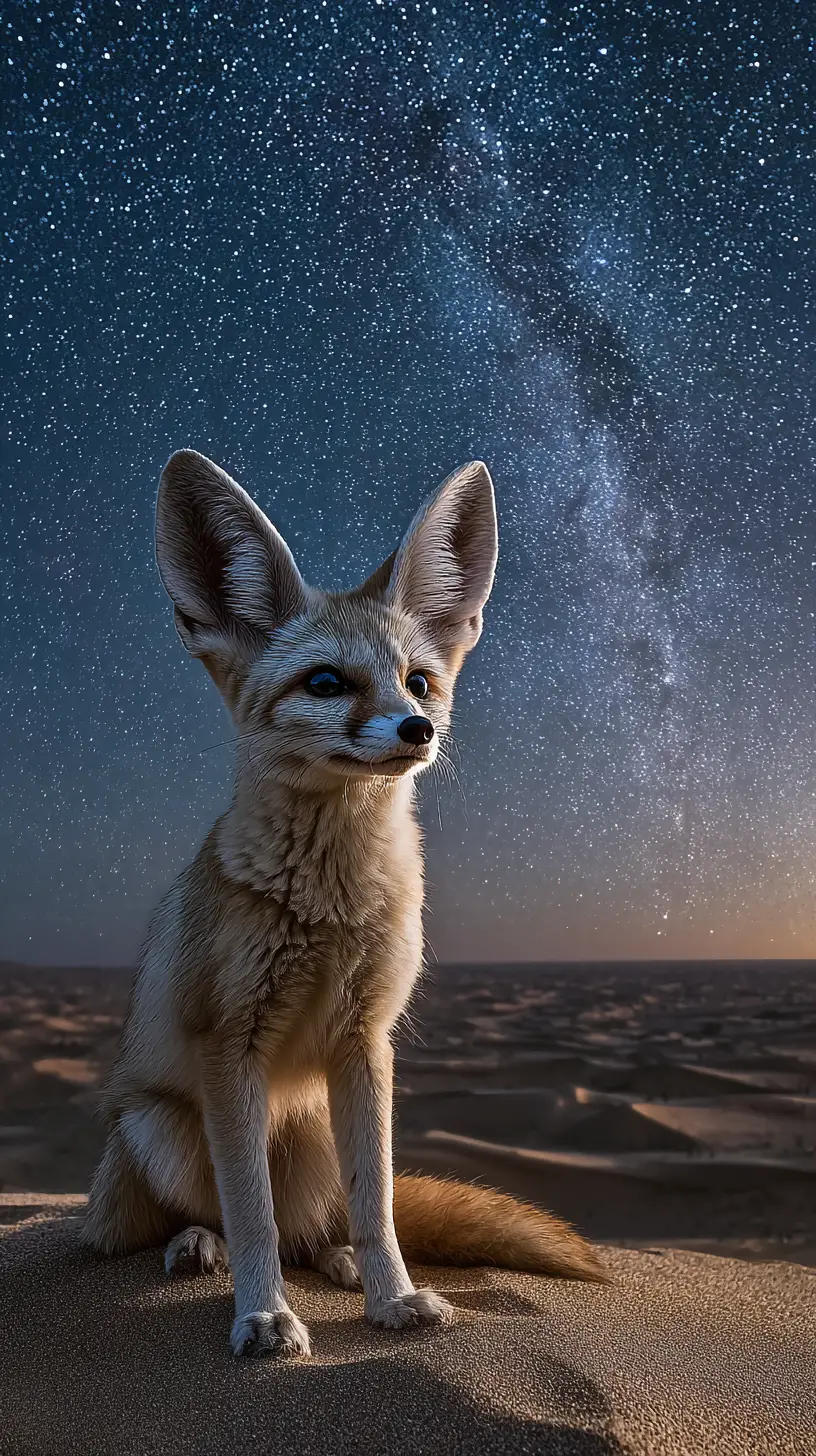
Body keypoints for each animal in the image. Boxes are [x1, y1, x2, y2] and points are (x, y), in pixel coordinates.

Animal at [83, 448, 607, 1359]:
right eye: (326, 683)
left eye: (419, 683)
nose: (416, 730)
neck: (330, 905)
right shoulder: (230, 1046)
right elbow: (251, 1215)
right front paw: (263, 1315)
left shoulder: (366, 1041)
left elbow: (377, 1205)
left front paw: (391, 1295)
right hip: (160, 1130)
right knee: (217, 1216)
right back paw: (199, 1244)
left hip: (316, 1131)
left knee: (319, 1223)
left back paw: (335, 1262)